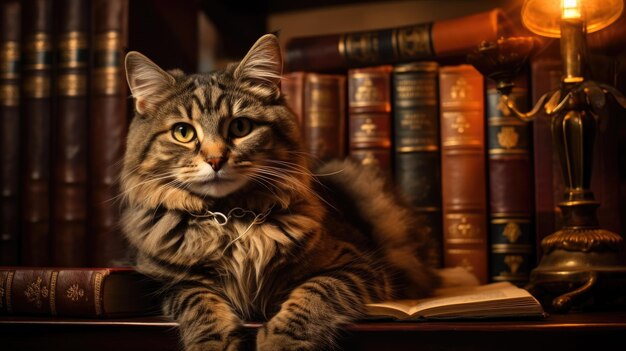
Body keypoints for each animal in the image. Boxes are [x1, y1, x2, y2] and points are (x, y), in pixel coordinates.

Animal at [119, 33, 436, 351]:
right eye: (183, 132)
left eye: (240, 127)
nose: (215, 160)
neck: (231, 218)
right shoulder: (167, 282)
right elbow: (200, 304)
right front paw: (214, 343)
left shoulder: (356, 265)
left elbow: (315, 293)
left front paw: (281, 341)